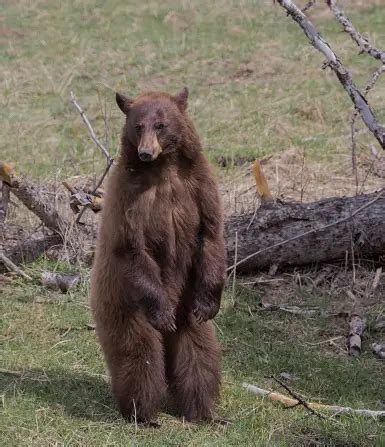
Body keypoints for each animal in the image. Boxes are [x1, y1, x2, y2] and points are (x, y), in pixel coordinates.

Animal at [90, 86, 226, 424]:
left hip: (186, 305)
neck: (164, 171)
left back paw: (203, 411)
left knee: (199, 352)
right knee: (140, 354)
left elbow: (211, 235)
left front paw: (209, 304)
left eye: (161, 124)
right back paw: (144, 414)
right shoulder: (128, 198)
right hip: (124, 303)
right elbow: (133, 247)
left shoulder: (200, 187)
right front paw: (162, 314)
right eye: (138, 126)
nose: (145, 152)